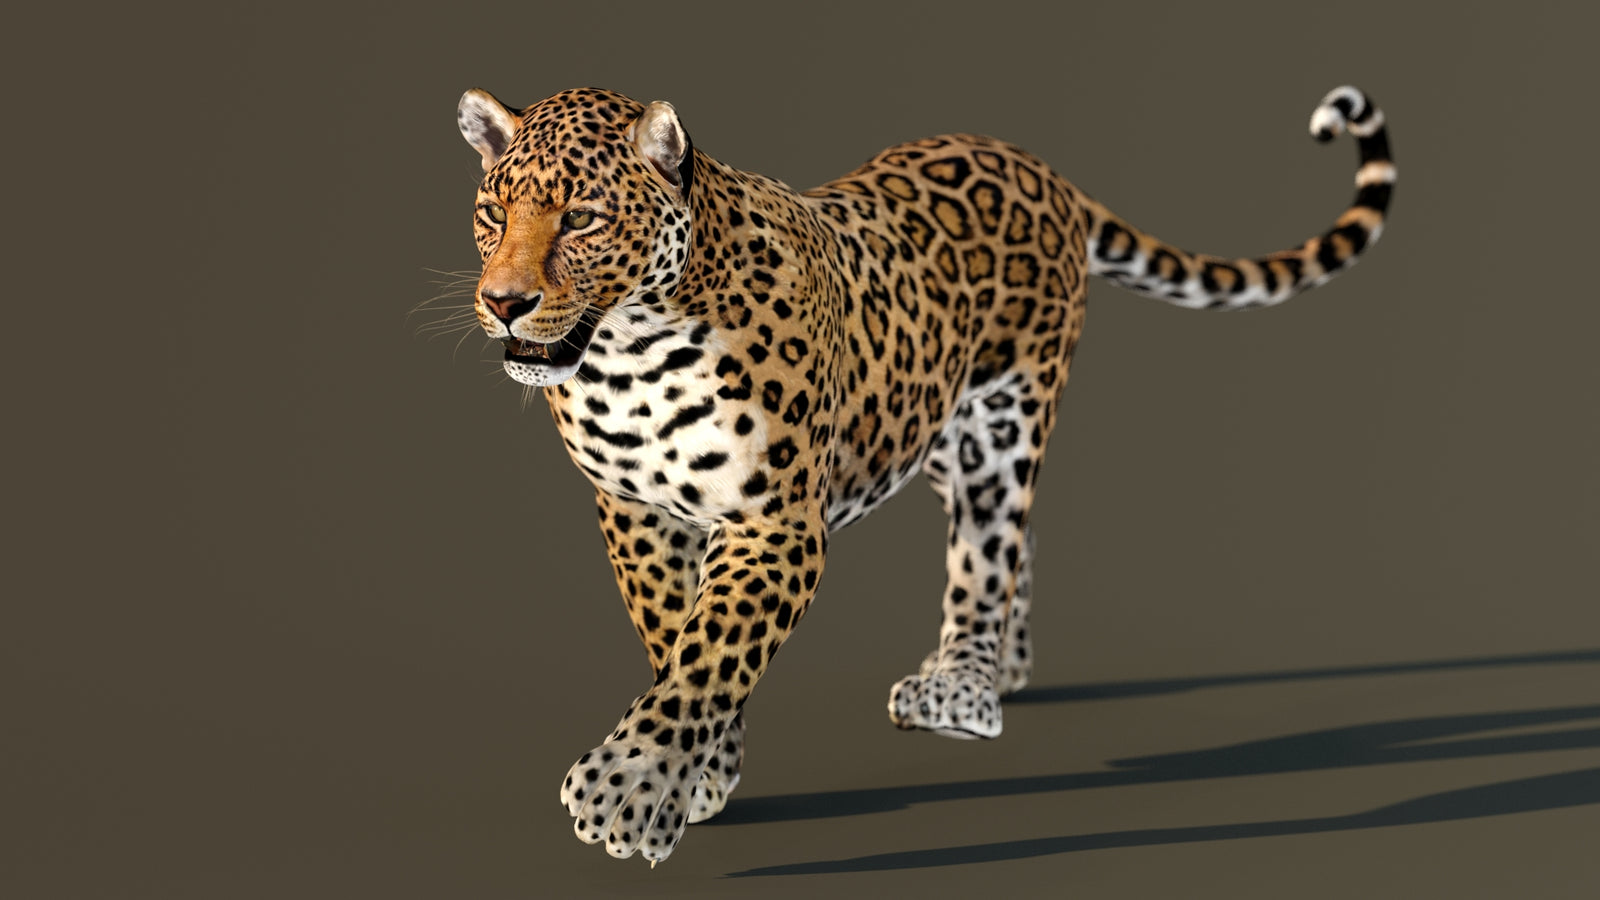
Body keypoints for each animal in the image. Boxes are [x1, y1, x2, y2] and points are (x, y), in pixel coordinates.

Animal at [450, 84, 1394, 865]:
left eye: (581, 219)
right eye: (493, 212)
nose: (504, 302)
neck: (629, 354)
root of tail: (1031, 160)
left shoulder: (777, 521)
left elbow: (712, 646)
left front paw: (633, 790)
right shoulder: (633, 509)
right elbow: (669, 632)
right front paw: (707, 771)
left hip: (1005, 417)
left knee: (987, 545)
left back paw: (965, 683)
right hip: (928, 425)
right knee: (1014, 539)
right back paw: (1007, 663)